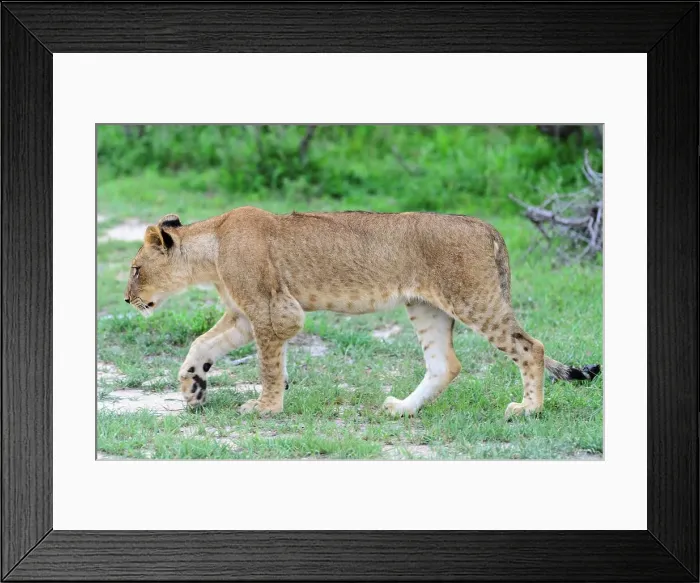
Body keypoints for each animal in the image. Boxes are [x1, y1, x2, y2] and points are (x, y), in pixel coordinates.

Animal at [124, 207, 600, 418]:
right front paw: (193, 388)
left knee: (531, 347)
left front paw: (266, 407)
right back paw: (402, 409)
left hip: (474, 300)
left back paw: (529, 409)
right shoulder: (245, 315)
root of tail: (487, 226)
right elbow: (201, 345)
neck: (211, 250)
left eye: (135, 269)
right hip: (426, 307)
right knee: (444, 365)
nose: (127, 300)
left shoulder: (275, 312)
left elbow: (269, 366)